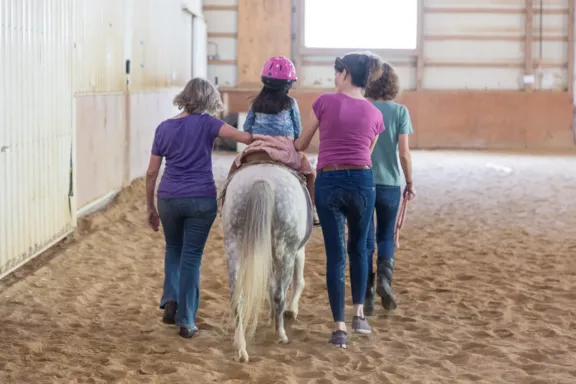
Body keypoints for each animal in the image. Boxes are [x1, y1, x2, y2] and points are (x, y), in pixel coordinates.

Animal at [222, 164, 310, 362]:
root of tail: (262, 180)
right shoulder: (297, 251)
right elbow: (297, 281)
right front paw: (290, 311)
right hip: (285, 251)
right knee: (279, 292)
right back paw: (281, 334)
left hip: (234, 247)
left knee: (237, 297)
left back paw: (241, 347)